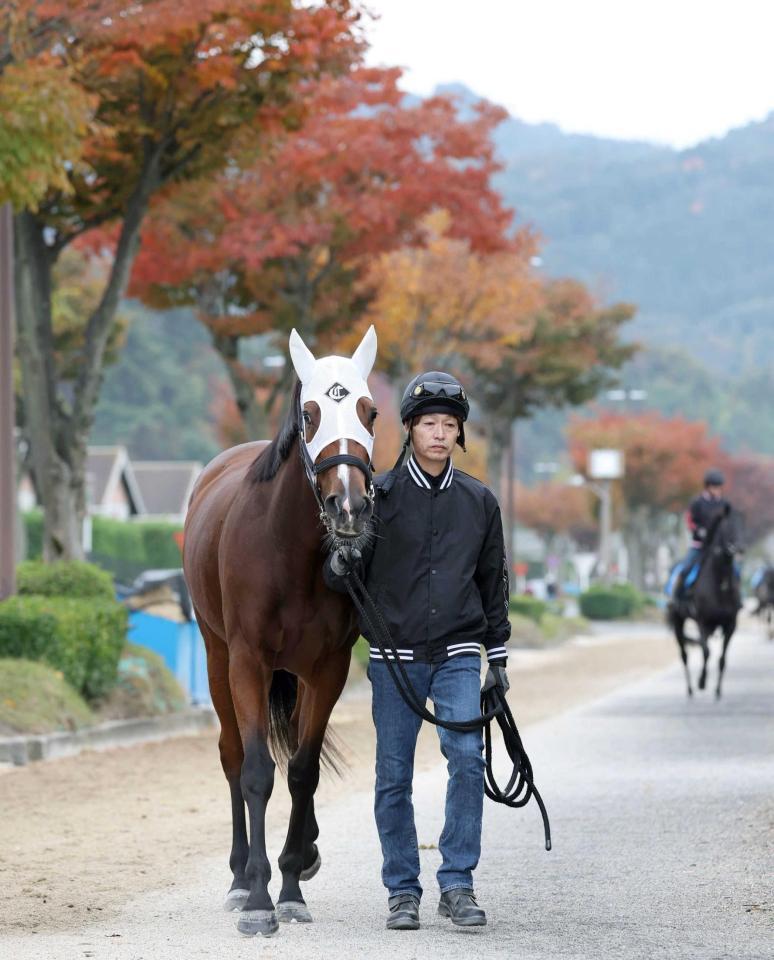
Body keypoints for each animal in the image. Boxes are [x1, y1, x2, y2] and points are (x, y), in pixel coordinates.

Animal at [183, 327, 379, 937]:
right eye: (310, 414)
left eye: (370, 411)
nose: (348, 504)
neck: (287, 548)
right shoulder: (247, 661)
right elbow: (256, 773)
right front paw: (258, 898)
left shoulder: (328, 667)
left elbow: (302, 773)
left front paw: (291, 886)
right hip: (216, 655)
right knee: (230, 756)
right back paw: (237, 876)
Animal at [668, 506, 743, 698]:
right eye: (726, 525)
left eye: (742, 524)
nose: (739, 547)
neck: (720, 583)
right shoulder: (703, 622)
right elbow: (707, 652)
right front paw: (701, 682)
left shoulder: (730, 625)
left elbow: (722, 658)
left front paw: (717, 690)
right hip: (679, 623)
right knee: (685, 655)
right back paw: (690, 689)